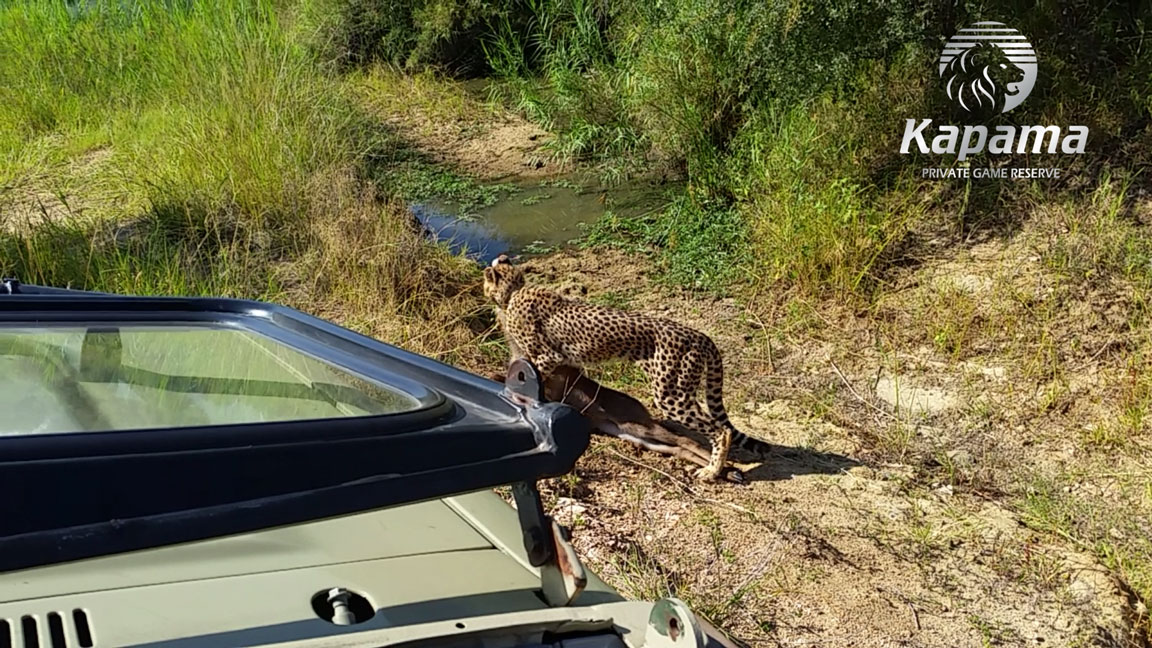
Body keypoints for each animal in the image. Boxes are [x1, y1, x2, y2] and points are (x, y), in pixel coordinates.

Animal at [482, 254, 758, 481]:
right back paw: (724, 470)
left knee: (718, 431)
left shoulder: (549, 357)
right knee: (683, 443)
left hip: (669, 397)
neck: (515, 292)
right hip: (639, 430)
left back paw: (713, 470)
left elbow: (526, 381)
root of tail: (698, 334)